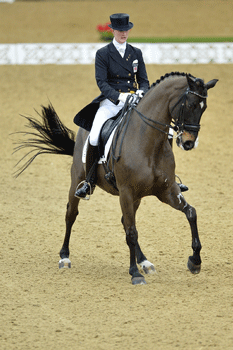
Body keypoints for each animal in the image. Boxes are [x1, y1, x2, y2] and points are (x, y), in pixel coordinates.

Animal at [14, 71, 218, 284]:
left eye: (204, 108)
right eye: (190, 105)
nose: (188, 143)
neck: (149, 143)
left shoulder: (167, 191)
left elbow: (191, 213)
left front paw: (195, 262)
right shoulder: (126, 192)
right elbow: (131, 232)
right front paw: (134, 273)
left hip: (136, 197)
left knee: (125, 221)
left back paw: (145, 262)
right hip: (77, 180)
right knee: (71, 214)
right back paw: (64, 257)